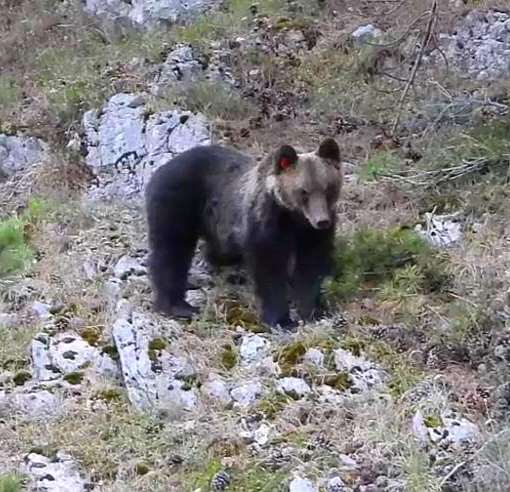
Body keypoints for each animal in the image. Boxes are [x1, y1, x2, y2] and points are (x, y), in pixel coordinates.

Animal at [144, 137, 342, 330]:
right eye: (303, 191)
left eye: (328, 188)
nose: (321, 220)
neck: (292, 217)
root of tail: (162, 167)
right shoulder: (265, 224)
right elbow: (269, 270)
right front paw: (281, 319)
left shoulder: (311, 234)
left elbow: (310, 267)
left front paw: (312, 311)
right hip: (179, 202)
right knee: (171, 250)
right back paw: (178, 306)